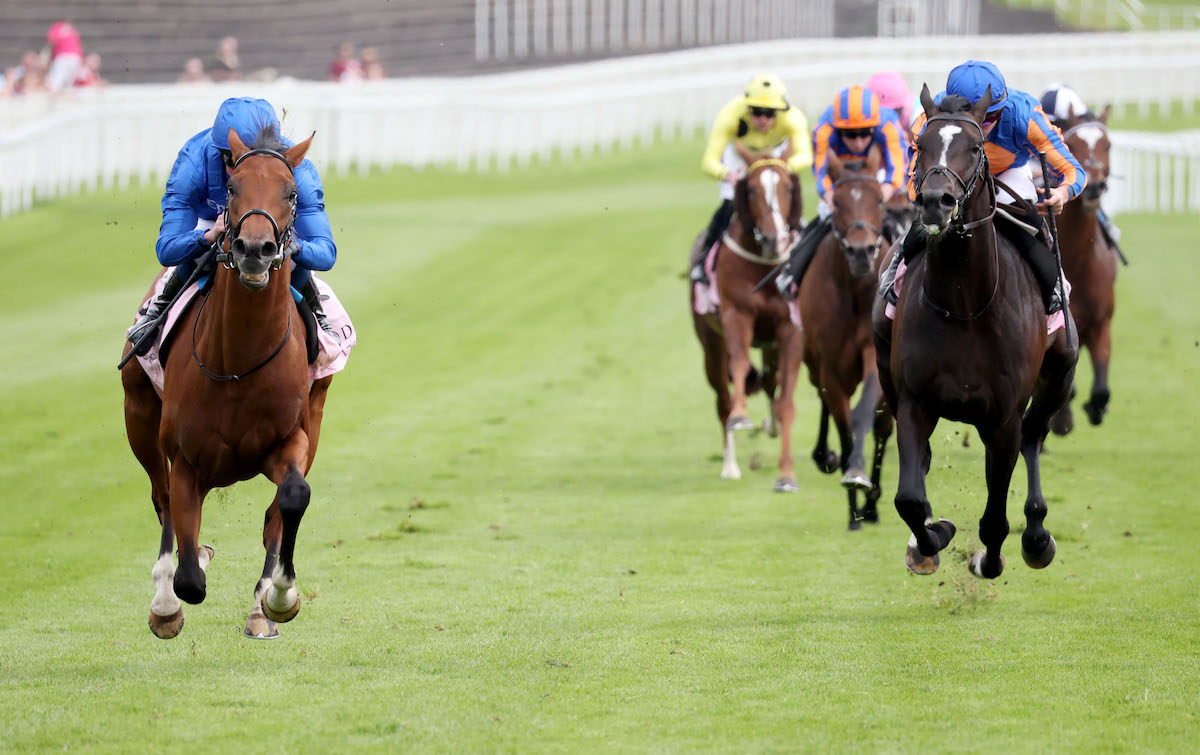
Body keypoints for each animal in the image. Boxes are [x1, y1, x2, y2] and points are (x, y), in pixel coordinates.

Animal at [120, 126, 333, 638]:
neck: (240, 359)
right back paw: (168, 594)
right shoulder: (185, 457)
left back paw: (261, 606)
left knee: (274, 512)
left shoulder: (291, 439)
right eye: (233, 188)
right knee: (162, 498)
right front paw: (170, 598)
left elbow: (292, 498)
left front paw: (280, 596)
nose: (255, 250)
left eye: (292, 193)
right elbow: (189, 576)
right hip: (139, 415)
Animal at [691, 156, 801, 492]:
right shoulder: (736, 317)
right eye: (750, 189)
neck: (764, 267)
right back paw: (730, 465)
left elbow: (785, 402)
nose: (774, 239)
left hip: (769, 344)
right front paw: (741, 417)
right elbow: (738, 367)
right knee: (722, 399)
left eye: (787, 187)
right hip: (711, 346)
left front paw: (787, 475)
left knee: (769, 381)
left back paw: (770, 425)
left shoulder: (789, 330)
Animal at [796, 148, 892, 530]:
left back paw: (874, 501)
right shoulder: (830, 370)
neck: (852, 291)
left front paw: (860, 477)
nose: (862, 252)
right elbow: (843, 426)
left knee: (883, 426)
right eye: (836, 203)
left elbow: (863, 415)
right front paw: (852, 505)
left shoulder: (874, 357)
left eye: (879, 199)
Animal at [873, 84, 1080, 576]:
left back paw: (1037, 535)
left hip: (1059, 373)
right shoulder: (914, 403)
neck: (965, 305)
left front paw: (990, 557)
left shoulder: (1001, 419)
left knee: (1034, 436)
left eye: (974, 146)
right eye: (919, 145)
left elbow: (994, 520)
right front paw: (931, 538)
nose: (936, 201)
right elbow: (909, 498)